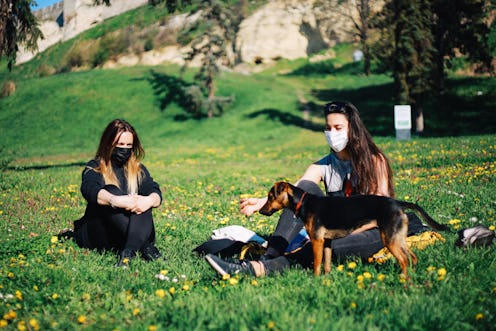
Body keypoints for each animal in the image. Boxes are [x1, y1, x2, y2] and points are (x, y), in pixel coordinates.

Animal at [260, 182, 450, 278]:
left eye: (270, 197)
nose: (261, 210)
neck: (304, 203)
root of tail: (398, 203)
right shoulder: (327, 242)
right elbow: (326, 264)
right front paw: (326, 280)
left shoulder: (317, 241)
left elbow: (317, 263)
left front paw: (315, 279)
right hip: (397, 237)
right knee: (412, 258)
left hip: (389, 239)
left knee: (404, 260)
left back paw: (404, 281)